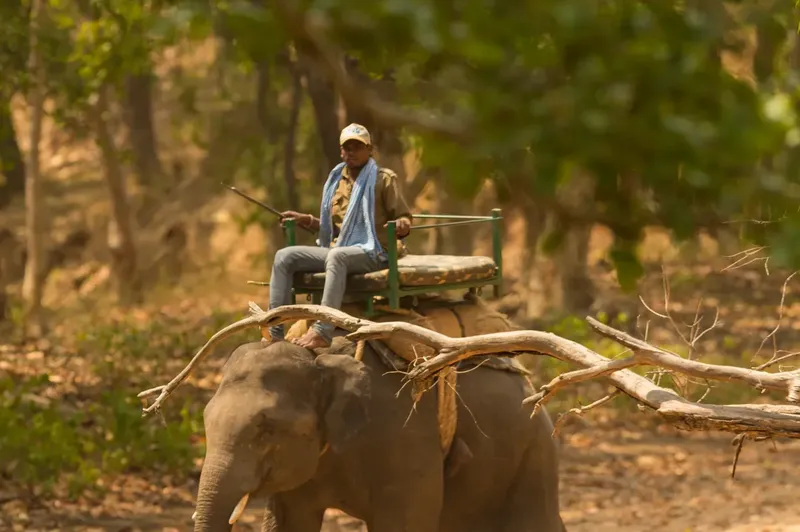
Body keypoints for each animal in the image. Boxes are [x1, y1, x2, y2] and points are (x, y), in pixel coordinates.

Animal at [192, 336, 566, 532]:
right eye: (206, 420)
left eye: (266, 429)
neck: (321, 359)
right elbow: (290, 522)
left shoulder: (405, 438)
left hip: (534, 456)